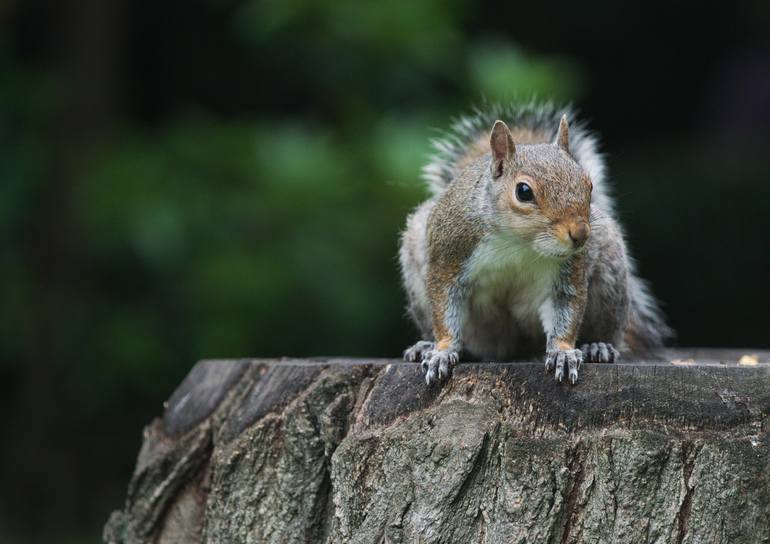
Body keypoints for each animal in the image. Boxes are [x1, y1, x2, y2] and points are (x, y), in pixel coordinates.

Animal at [400, 100, 668, 384]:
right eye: (524, 191)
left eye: (589, 184)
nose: (581, 234)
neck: (519, 242)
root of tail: (513, 349)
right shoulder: (449, 255)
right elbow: (444, 306)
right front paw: (442, 350)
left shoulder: (568, 272)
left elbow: (566, 310)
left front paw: (563, 352)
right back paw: (427, 345)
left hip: (610, 277)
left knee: (609, 332)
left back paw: (598, 346)